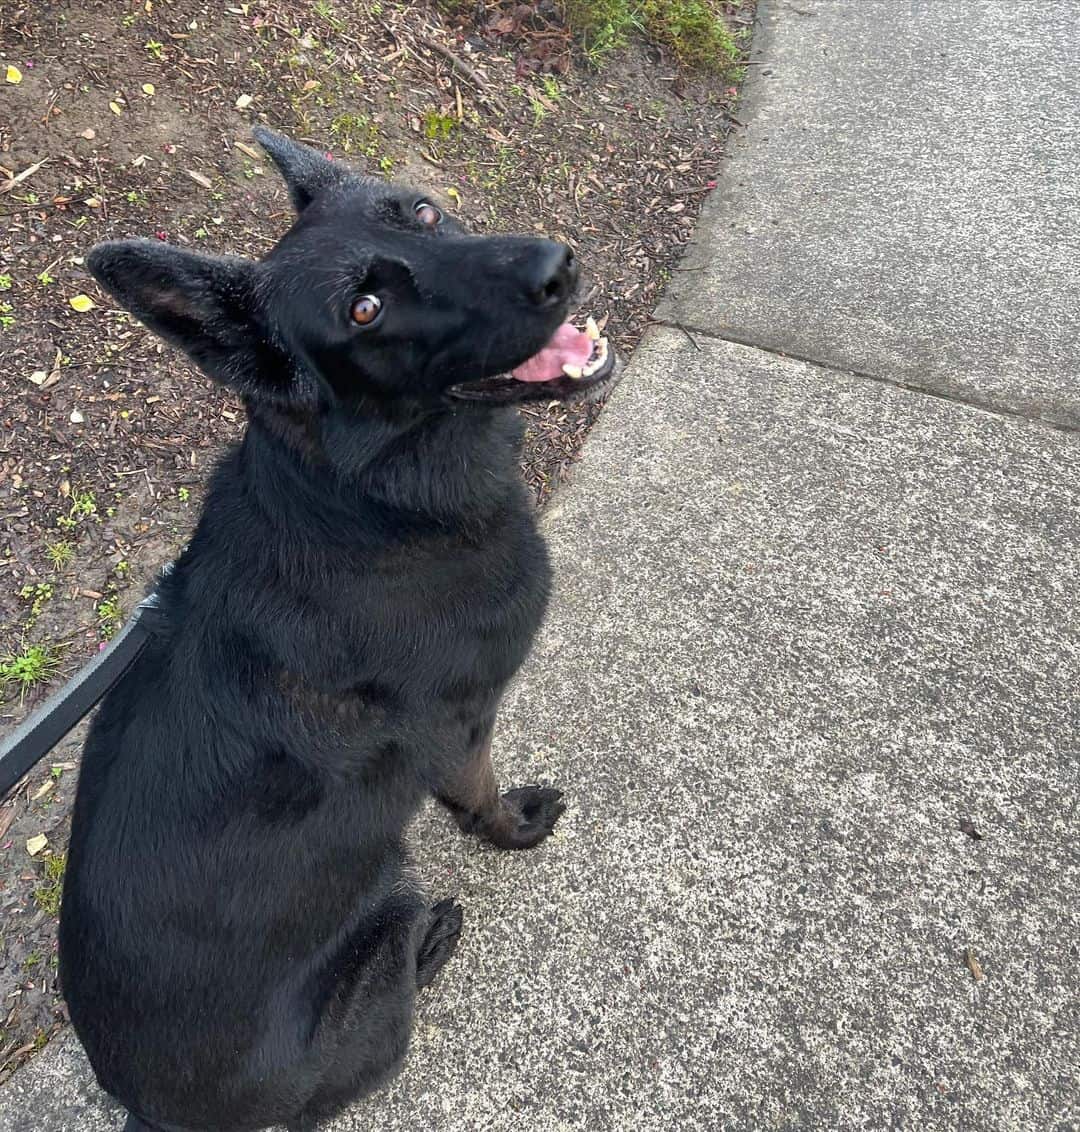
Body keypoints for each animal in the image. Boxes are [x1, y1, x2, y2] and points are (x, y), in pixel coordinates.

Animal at [56, 128, 615, 1132]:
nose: (558, 269)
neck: (365, 506)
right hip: (384, 909)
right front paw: (513, 828)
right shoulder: (462, 726)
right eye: (365, 309)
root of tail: (147, 1108)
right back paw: (434, 936)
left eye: (423, 211)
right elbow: (477, 796)